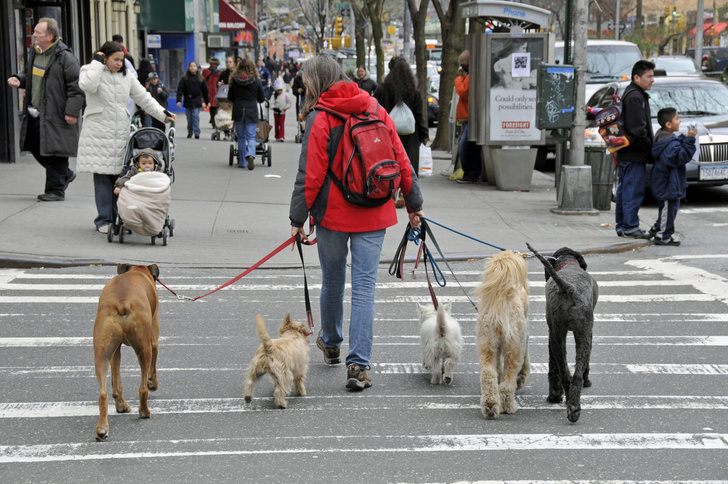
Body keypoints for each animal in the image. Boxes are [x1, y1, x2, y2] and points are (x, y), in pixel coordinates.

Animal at [92, 262, 159, 440]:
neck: (138, 271)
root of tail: (123, 302)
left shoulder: (116, 351)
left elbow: (116, 381)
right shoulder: (153, 340)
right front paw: (153, 383)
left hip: (101, 352)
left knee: (105, 393)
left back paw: (104, 427)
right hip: (144, 348)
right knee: (142, 388)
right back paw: (144, 411)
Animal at [472, 251, 528, 418]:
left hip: (486, 344)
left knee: (488, 374)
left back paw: (490, 405)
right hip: (514, 349)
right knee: (508, 381)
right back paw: (508, 406)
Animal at [528, 244, 596, 422]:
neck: (568, 263)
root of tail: (568, 288)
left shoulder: (556, 332)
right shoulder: (588, 332)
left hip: (561, 334)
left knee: (568, 372)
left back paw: (570, 404)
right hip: (573, 333)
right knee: (572, 371)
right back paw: (568, 402)